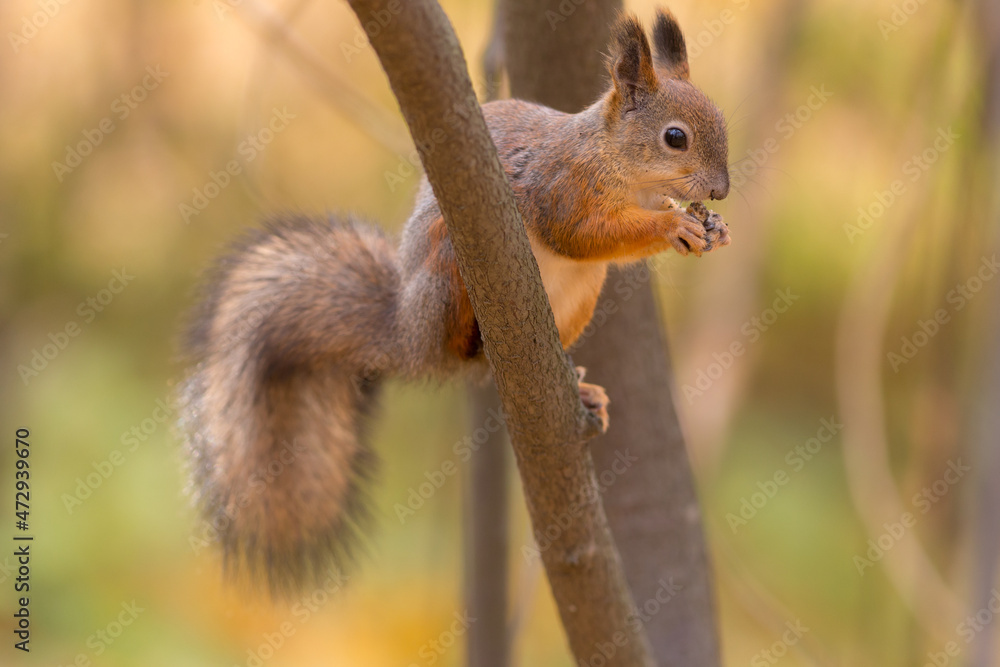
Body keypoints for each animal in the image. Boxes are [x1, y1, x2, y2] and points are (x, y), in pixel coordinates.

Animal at [178, 7, 728, 592]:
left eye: (721, 120)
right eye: (675, 137)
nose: (720, 190)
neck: (617, 162)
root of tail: (409, 334)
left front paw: (712, 227)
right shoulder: (562, 186)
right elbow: (581, 234)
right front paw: (675, 226)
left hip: (582, 298)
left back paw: (582, 390)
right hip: (448, 263)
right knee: (465, 349)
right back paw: (477, 337)